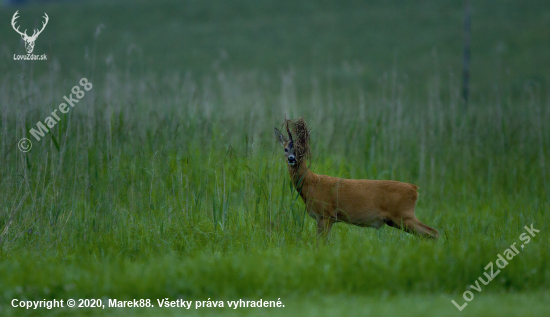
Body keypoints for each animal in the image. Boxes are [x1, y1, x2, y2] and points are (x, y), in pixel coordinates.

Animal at [276, 118, 440, 239]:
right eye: (285, 149)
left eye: (300, 150)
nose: (291, 158)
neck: (312, 184)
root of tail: (414, 189)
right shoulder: (328, 218)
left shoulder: (325, 214)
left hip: (404, 215)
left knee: (433, 232)